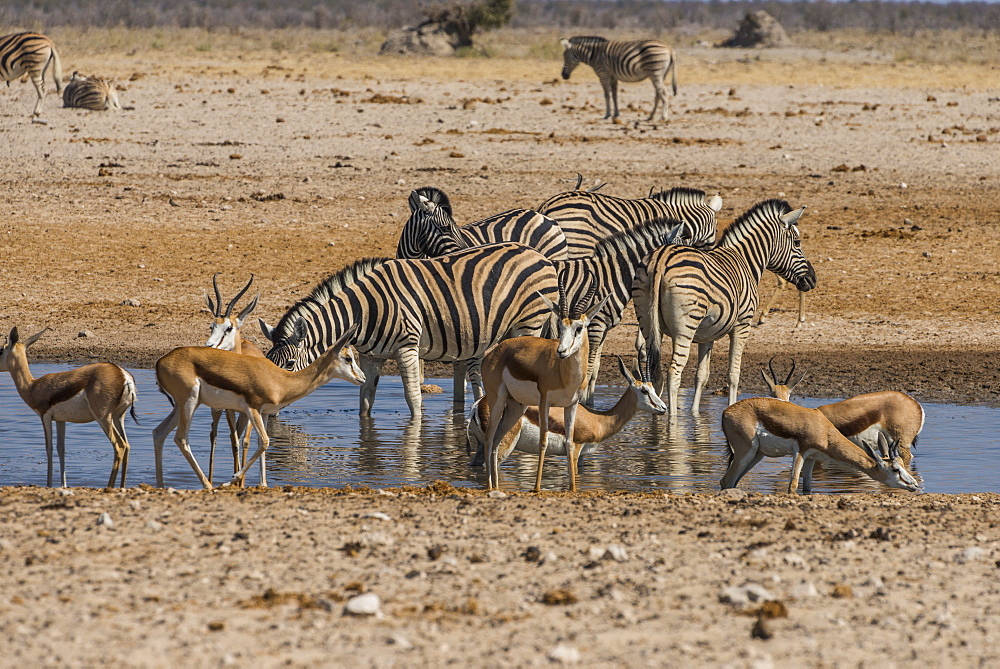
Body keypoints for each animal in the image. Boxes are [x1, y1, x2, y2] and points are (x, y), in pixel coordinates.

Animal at [260, 240, 564, 418]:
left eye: (289, 365)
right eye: (267, 361)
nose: (267, 407)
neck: (364, 310)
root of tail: (539, 254)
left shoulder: (407, 346)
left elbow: (413, 398)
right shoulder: (371, 357)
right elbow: (365, 400)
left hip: (529, 322)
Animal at [552, 217, 684, 402]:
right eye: (678, 250)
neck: (612, 275)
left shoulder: (602, 329)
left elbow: (595, 370)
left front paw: (590, 403)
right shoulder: (595, 326)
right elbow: (589, 368)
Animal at [636, 198, 816, 414]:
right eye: (797, 243)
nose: (812, 279)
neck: (745, 260)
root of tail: (661, 257)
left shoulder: (706, 335)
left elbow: (701, 376)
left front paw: (695, 414)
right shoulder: (742, 326)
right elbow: (733, 374)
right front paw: (731, 407)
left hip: (648, 324)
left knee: (656, 373)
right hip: (684, 329)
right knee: (674, 373)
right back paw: (672, 416)